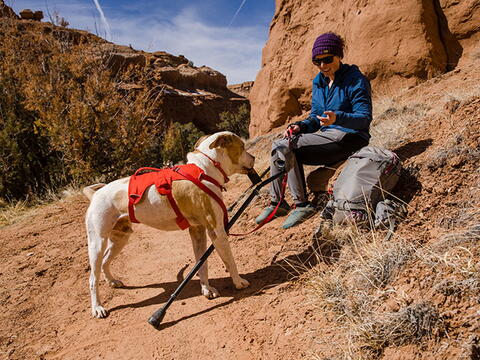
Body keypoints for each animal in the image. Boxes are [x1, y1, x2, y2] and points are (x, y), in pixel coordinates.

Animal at [83, 132, 255, 318]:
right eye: (242, 147)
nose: (253, 157)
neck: (205, 170)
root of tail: (95, 194)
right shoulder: (217, 231)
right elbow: (229, 261)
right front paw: (238, 282)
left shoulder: (198, 231)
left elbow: (201, 264)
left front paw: (207, 289)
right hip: (97, 243)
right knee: (92, 278)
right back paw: (97, 308)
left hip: (120, 238)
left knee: (105, 261)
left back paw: (112, 281)